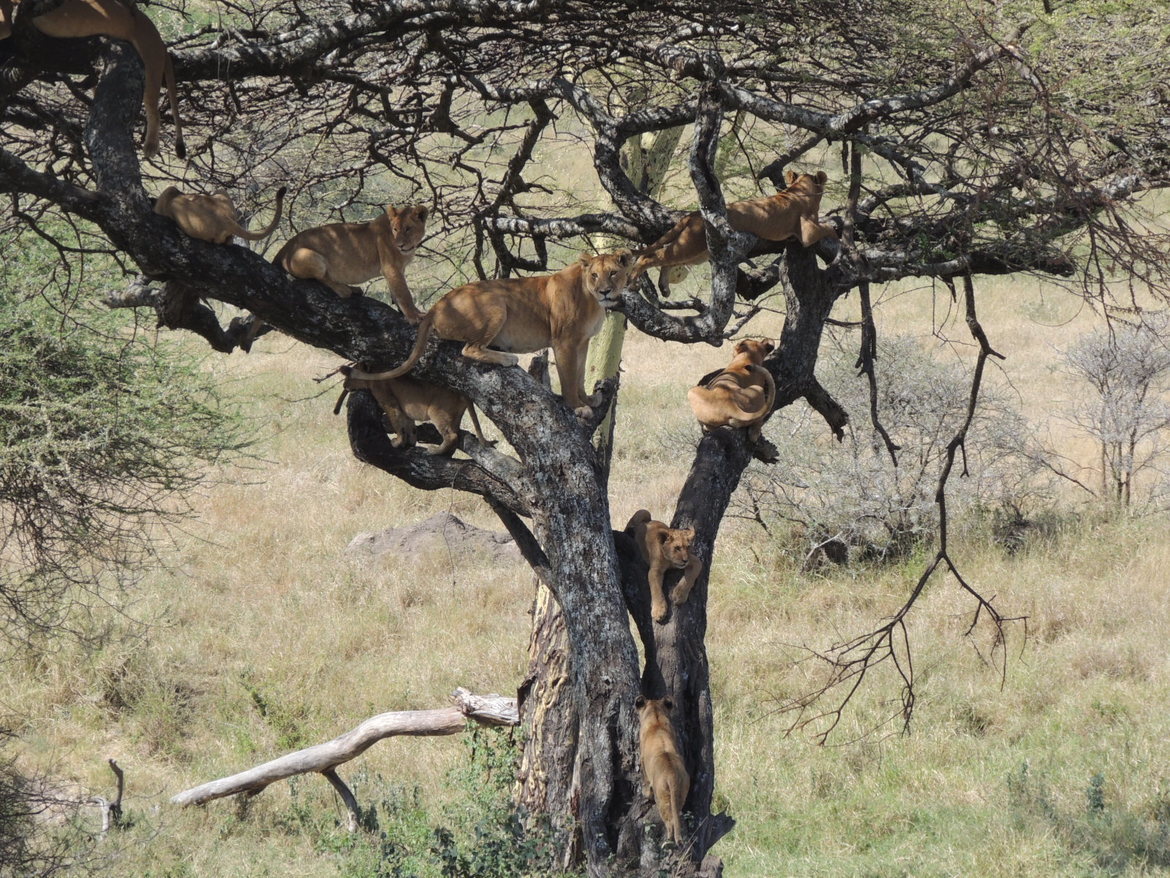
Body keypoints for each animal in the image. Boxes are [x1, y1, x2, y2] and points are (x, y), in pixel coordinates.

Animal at [272, 204, 429, 323]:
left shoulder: (397, 270)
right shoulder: (391, 268)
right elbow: (404, 294)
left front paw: (407, 312)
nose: (399, 245)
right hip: (311, 256)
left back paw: (353, 289)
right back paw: (344, 289)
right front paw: (414, 316)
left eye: (408, 228)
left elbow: (396, 292)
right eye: (395, 229)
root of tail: (285, 248)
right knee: (322, 277)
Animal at [334, 366, 487, 456]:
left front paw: (397, 442)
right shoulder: (404, 408)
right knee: (456, 434)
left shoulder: (389, 402)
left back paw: (434, 451)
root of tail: (463, 392)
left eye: (348, 376)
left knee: (452, 436)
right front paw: (410, 443)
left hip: (437, 412)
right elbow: (409, 426)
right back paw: (446, 453)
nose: (344, 385)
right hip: (454, 416)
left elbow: (397, 424)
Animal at [345, 250, 633, 416]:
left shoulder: (582, 342)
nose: (605, 291)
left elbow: (581, 373)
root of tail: (437, 305)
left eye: (613, 273)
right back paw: (507, 358)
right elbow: (568, 377)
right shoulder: (564, 341)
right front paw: (576, 406)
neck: (592, 300)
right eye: (594, 275)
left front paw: (589, 399)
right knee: (469, 348)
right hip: (495, 303)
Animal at [630, 170, 836, 295]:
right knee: (650, 257)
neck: (798, 190)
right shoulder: (807, 233)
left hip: (697, 253)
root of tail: (694, 214)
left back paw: (663, 287)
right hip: (690, 245)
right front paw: (836, 227)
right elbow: (825, 228)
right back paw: (633, 281)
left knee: (666, 260)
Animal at [635, 695, 690, 847]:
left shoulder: (642, 759)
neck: (656, 717)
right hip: (680, 792)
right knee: (676, 816)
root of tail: (672, 774)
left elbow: (645, 779)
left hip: (661, 797)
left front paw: (645, 793)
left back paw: (668, 841)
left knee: (669, 821)